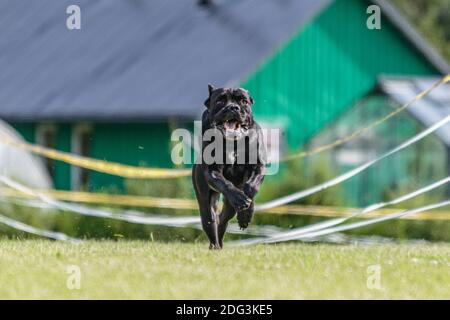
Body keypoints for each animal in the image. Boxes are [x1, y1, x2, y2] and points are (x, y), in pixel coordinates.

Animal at [192, 84, 266, 249]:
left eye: (243, 101)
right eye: (220, 100)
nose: (233, 107)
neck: (233, 142)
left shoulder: (258, 166)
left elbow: (252, 186)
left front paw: (246, 214)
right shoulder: (212, 171)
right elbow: (225, 183)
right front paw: (240, 198)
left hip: (229, 208)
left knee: (223, 219)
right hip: (205, 202)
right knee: (211, 221)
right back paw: (215, 247)